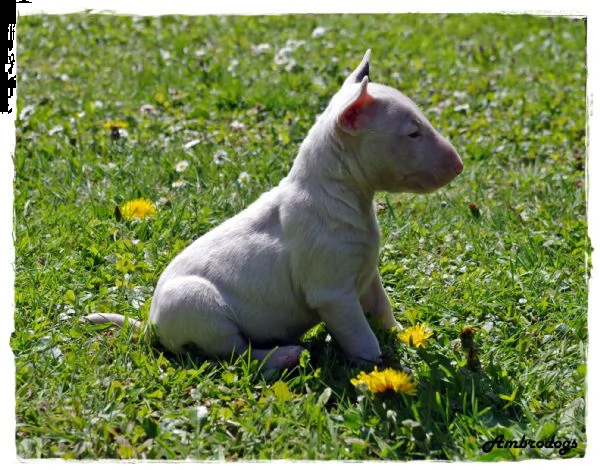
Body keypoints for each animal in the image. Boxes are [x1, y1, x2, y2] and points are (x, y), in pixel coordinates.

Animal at [88, 49, 464, 370]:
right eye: (413, 133)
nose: (459, 166)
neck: (335, 193)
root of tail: (150, 324)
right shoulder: (333, 294)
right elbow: (362, 337)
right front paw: (381, 368)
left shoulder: (367, 277)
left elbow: (383, 309)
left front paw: (404, 336)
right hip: (199, 307)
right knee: (238, 354)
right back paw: (284, 356)